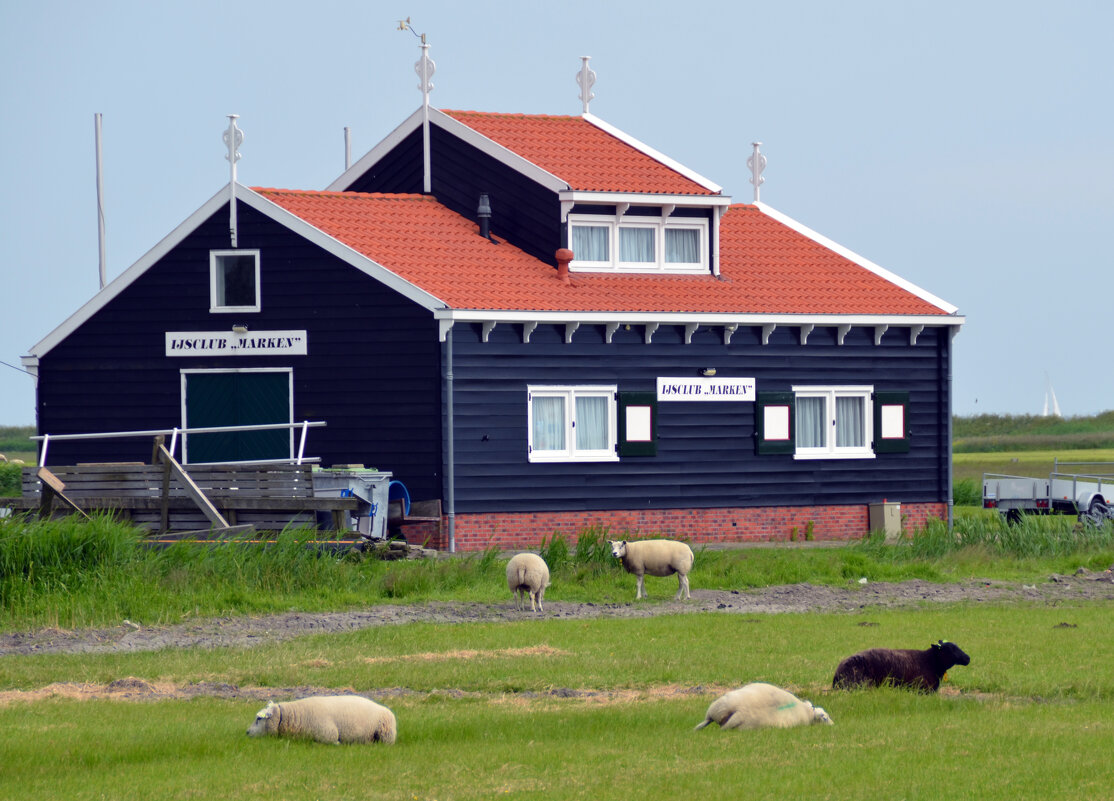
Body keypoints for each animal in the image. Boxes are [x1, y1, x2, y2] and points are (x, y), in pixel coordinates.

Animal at [690, 681, 833, 735]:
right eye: (825, 717)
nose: (833, 725)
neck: (807, 712)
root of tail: (740, 712)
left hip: (720, 706)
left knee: (706, 721)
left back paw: (695, 730)